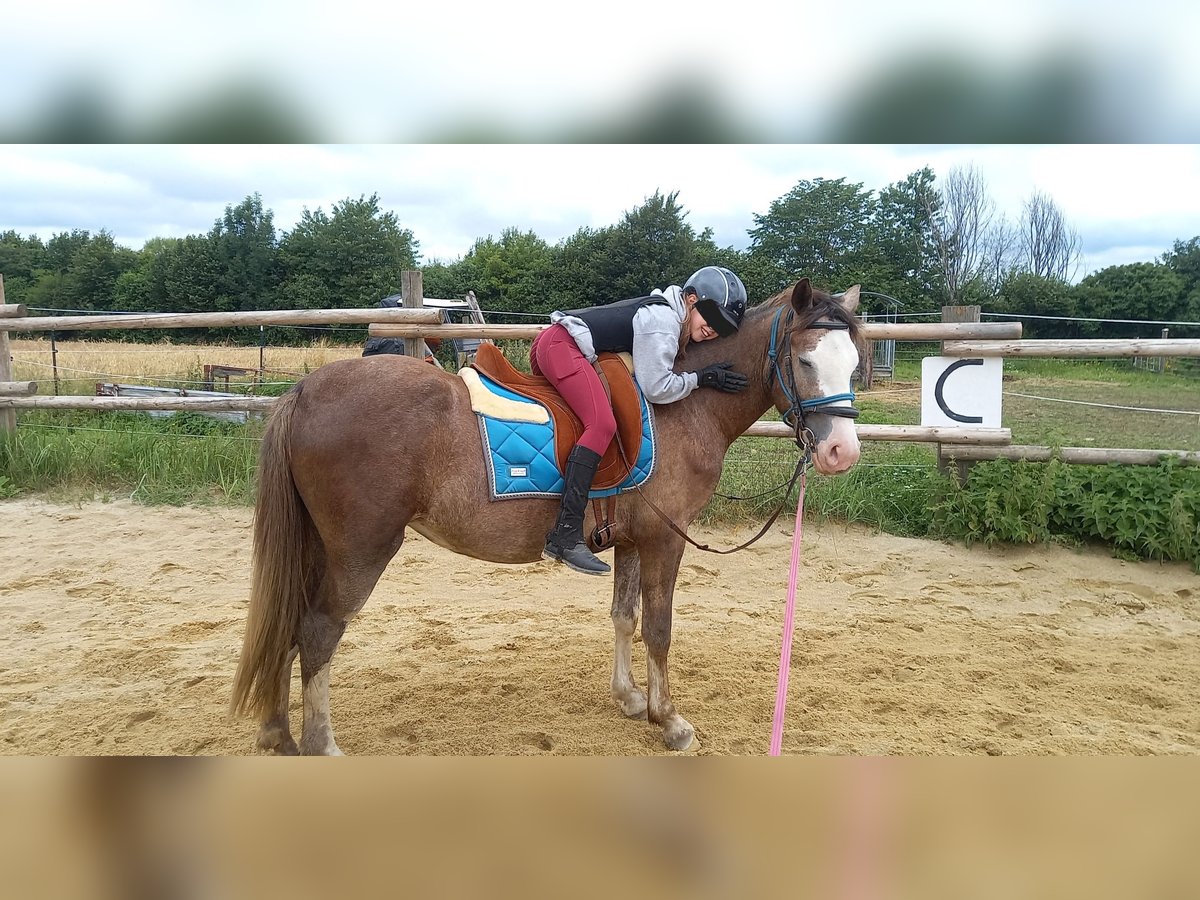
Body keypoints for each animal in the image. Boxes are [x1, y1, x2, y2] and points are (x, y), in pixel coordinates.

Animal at [229, 278, 864, 758]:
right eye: (805, 359)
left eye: (855, 364)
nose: (842, 452)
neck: (682, 409)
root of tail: (306, 389)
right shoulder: (665, 539)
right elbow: (659, 628)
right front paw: (670, 720)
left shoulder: (631, 539)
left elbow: (624, 617)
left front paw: (631, 700)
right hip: (361, 549)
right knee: (318, 631)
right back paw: (321, 744)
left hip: (318, 545)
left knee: (289, 622)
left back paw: (277, 734)